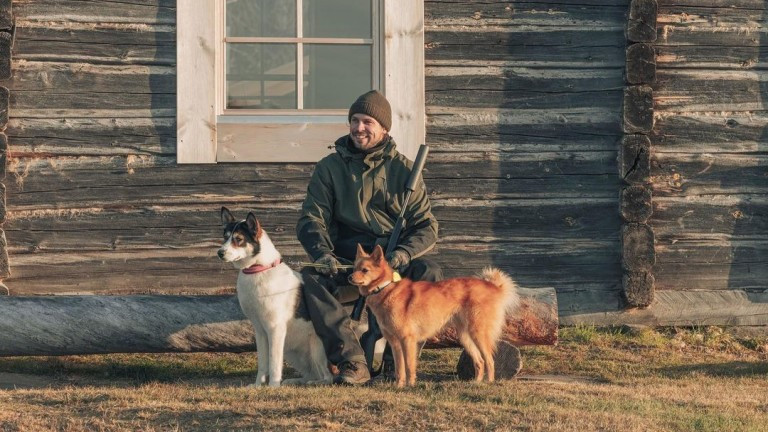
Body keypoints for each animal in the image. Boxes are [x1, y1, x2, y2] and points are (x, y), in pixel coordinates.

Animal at [219, 208, 332, 386]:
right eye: (225, 237)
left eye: (238, 239)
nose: (220, 253)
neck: (259, 270)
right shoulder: (260, 331)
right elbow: (263, 364)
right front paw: (258, 386)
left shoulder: (275, 329)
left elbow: (273, 363)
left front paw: (272, 386)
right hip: (292, 352)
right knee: (311, 373)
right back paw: (295, 381)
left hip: (316, 349)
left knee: (328, 376)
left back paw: (315, 383)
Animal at [350, 245, 520, 386]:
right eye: (354, 268)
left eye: (365, 270)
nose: (349, 277)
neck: (385, 288)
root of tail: (493, 286)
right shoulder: (395, 343)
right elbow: (399, 369)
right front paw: (399, 386)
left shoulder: (407, 340)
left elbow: (409, 366)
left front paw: (410, 386)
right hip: (466, 337)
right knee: (479, 361)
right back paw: (476, 383)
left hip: (478, 334)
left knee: (489, 361)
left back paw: (489, 383)